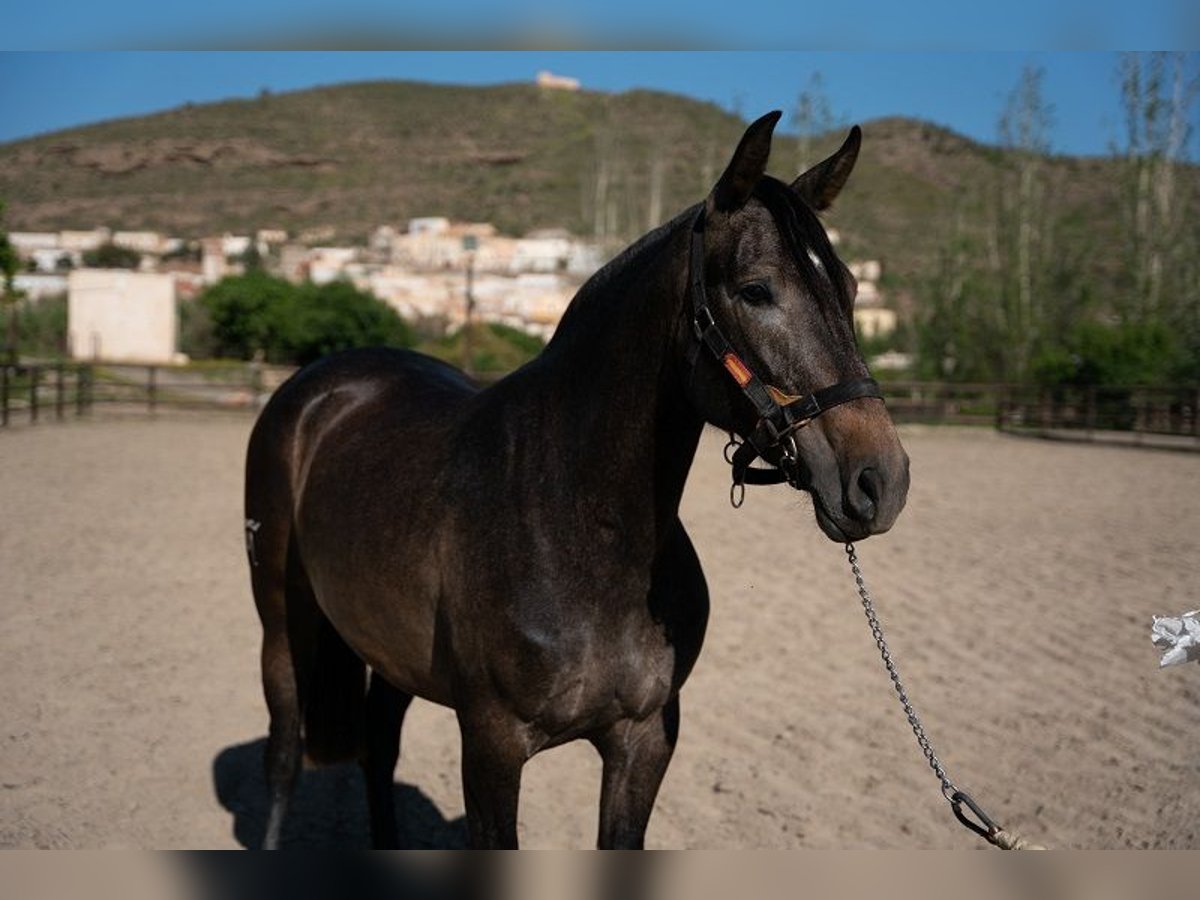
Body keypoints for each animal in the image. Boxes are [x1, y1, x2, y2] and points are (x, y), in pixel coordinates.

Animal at [248, 112, 912, 854]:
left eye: (851, 289)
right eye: (756, 289)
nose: (879, 480)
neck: (576, 523)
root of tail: (320, 386)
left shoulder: (644, 740)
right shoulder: (492, 746)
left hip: (392, 651)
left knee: (379, 746)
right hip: (280, 624)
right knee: (283, 753)